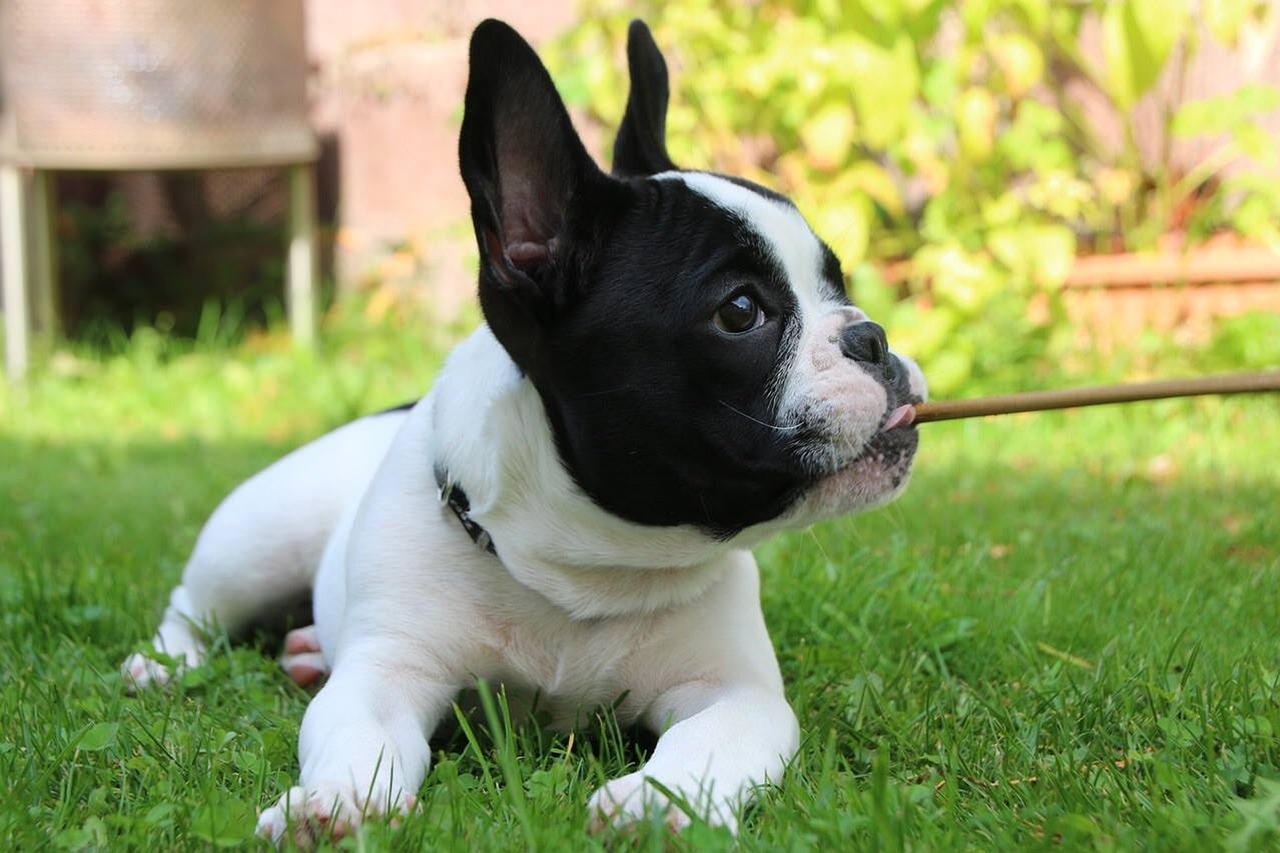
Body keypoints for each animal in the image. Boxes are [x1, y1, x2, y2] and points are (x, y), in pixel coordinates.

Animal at [124, 18, 931, 835]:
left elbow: (712, 739)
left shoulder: (737, 693)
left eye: (840, 283)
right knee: (194, 606)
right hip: (258, 534)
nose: (872, 336)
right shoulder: (389, 671)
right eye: (740, 312)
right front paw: (337, 800)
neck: (593, 565)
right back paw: (165, 664)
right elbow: (360, 730)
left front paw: (655, 800)